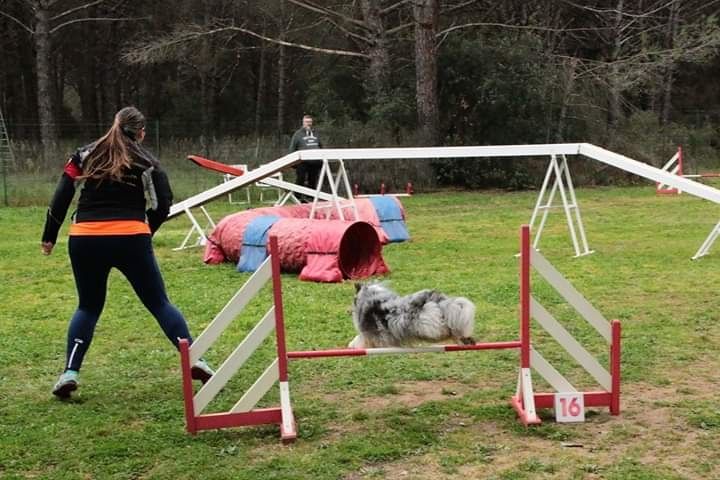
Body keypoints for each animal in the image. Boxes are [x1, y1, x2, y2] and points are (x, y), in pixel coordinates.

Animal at [350, 282, 478, 348]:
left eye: (354, 299)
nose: (349, 311)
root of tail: (440, 301)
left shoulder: (369, 334)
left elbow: (359, 339)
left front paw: (351, 345)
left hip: (425, 324)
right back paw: (466, 340)